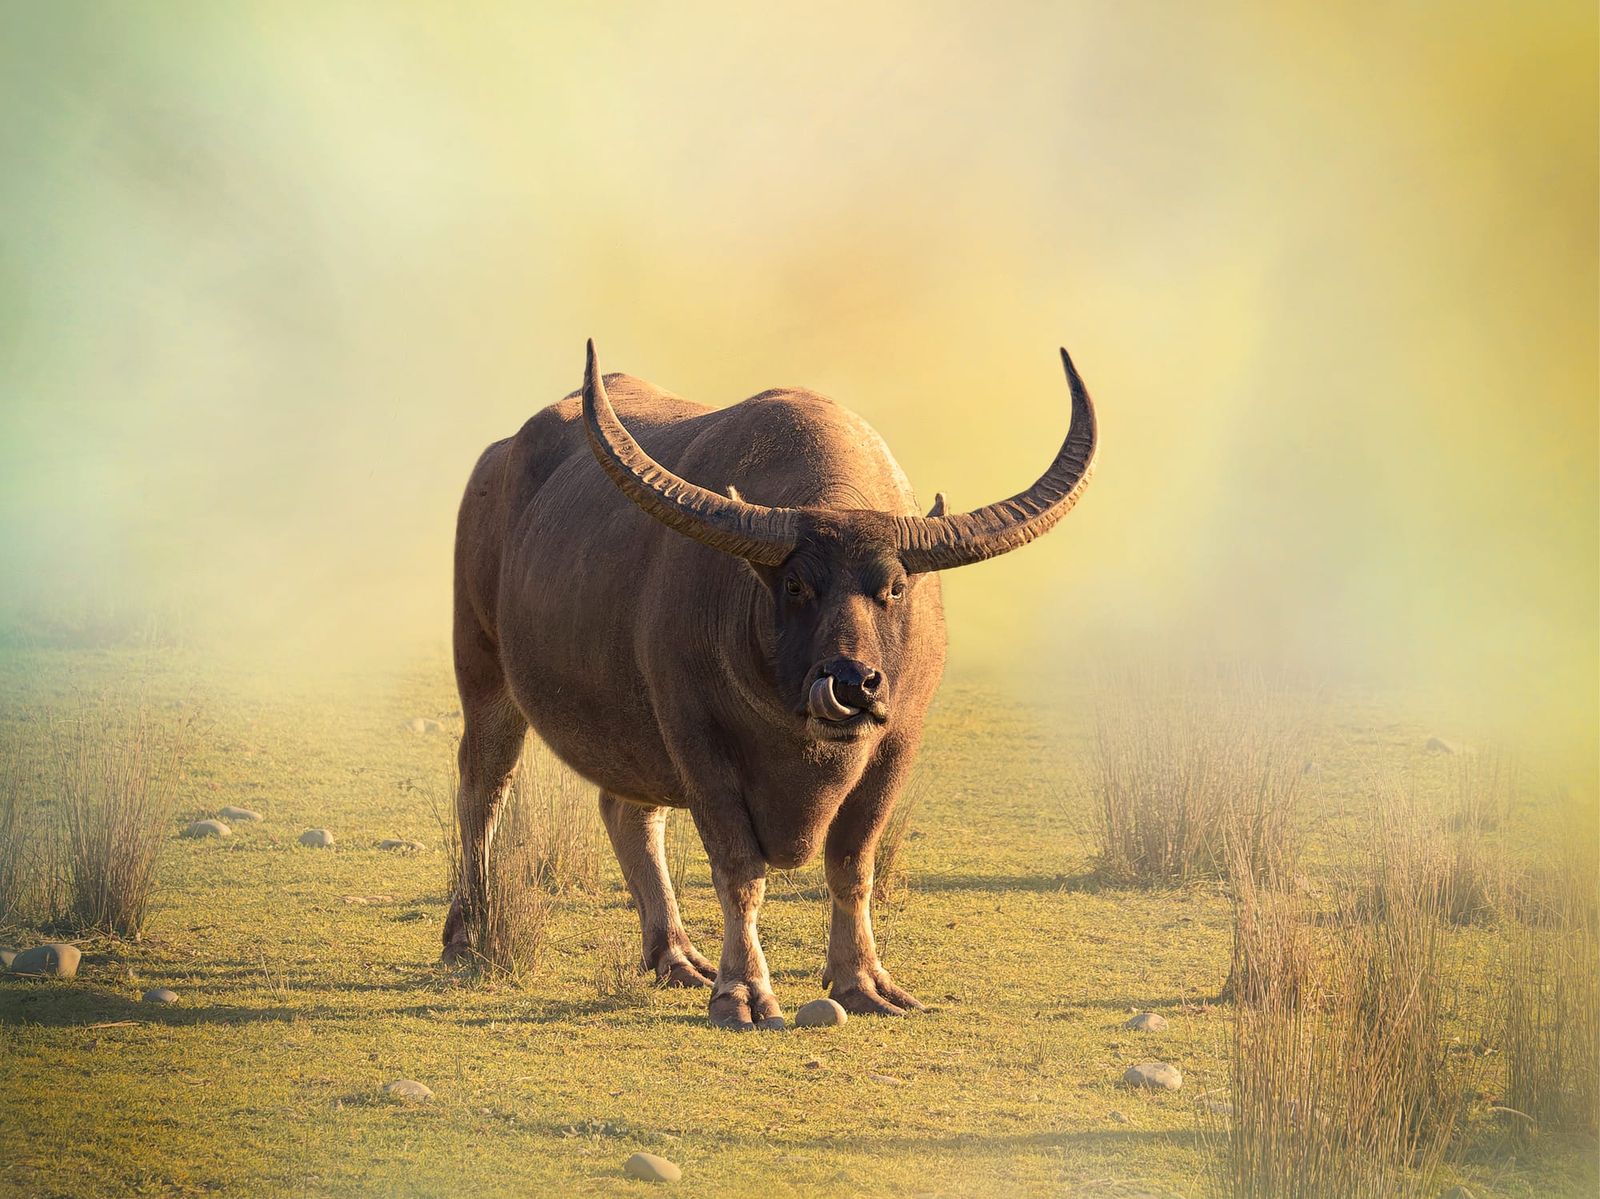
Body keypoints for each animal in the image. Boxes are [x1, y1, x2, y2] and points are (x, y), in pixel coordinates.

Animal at [443, 342, 1097, 1028]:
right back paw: (467, 933)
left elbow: (852, 863)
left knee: (630, 812)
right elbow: (739, 871)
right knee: (483, 788)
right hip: (485, 673)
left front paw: (862, 981)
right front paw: (743, 991)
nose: (853, 685)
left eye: (893, 587)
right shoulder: (697, 739)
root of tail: (497, 459)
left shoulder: (899, 743)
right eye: (795, 585)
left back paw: (674, 955)